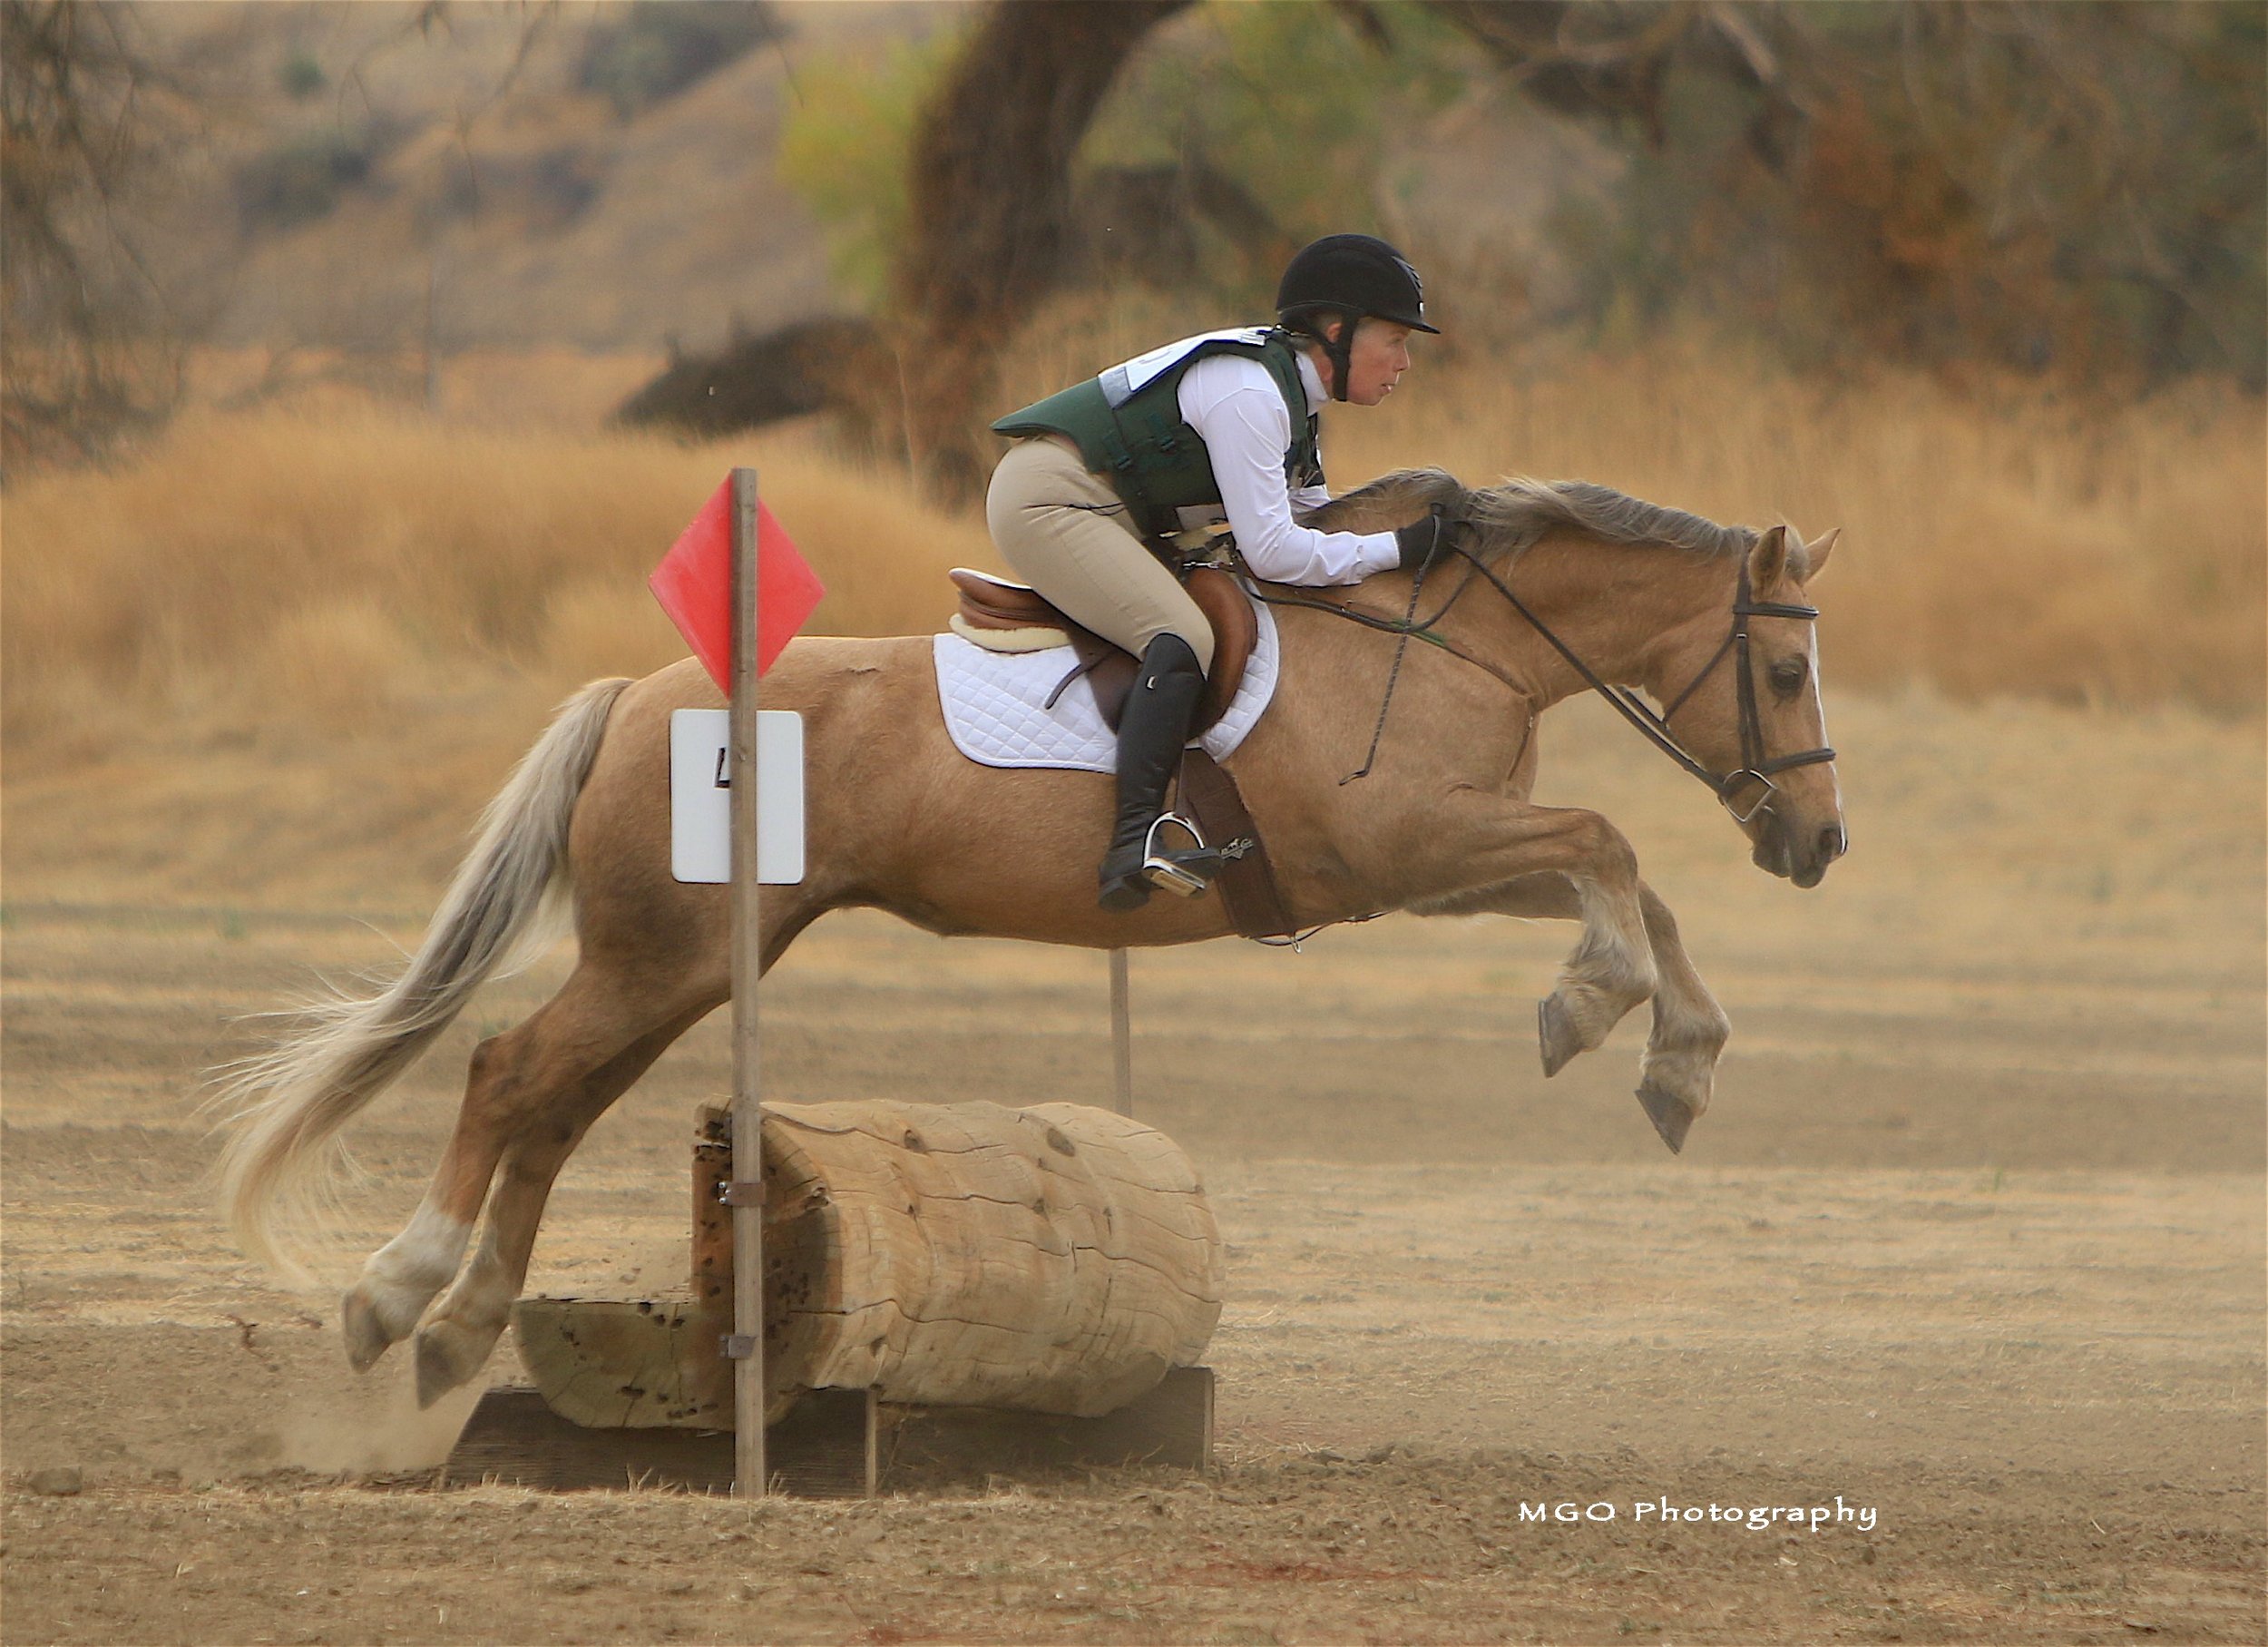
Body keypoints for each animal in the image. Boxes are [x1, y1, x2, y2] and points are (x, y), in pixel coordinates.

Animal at [213, 466, 1846, 1409]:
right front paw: (1602, 1012)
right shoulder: (1414, 839)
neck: (1446, 634)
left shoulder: (1428, 865)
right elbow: (1611, 845)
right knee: (510, 1075)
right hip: (662, 953)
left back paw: (456, 1328)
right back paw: (397, 1293)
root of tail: (636, 692)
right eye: (1780, 670)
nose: (1819, 846)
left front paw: (1676, 1056)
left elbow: (1629, 878)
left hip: (674, 962)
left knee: (552, 1101)